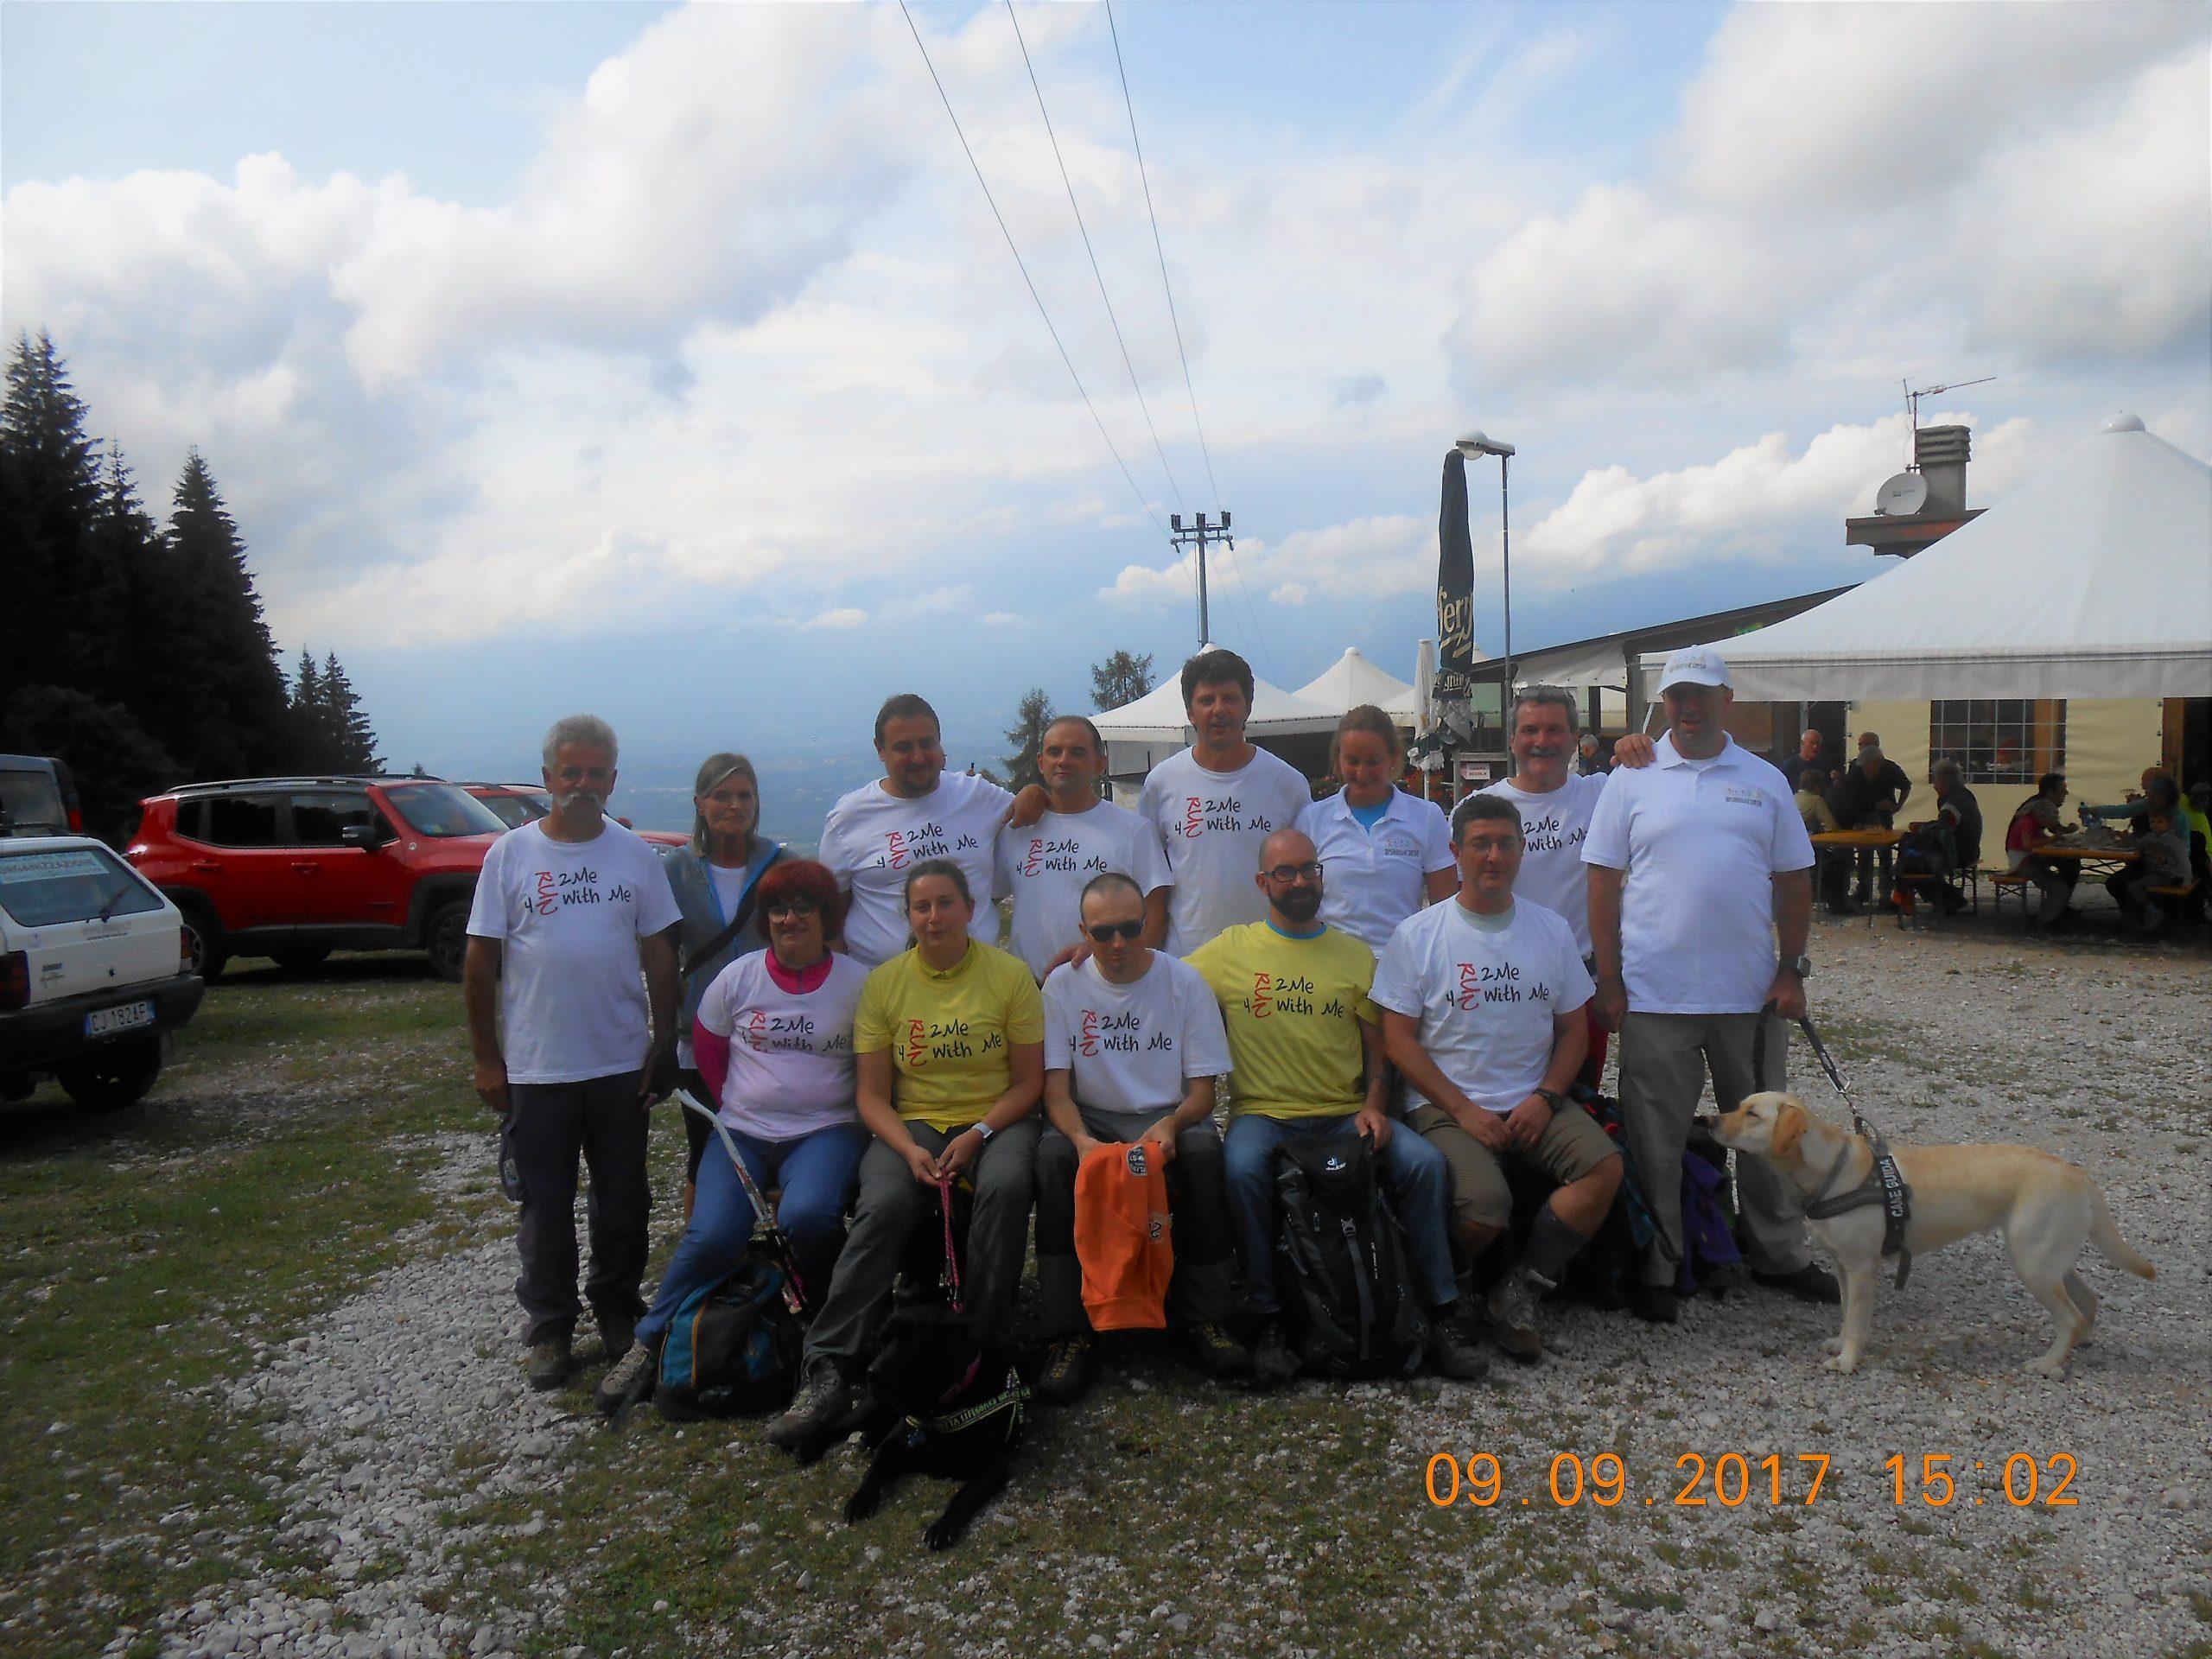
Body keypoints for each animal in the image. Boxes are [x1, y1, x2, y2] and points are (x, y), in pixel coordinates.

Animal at [840, 1309, 1030, 1557]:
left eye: (913, 1344)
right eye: (883, 1341)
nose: (871, 1373)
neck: (937, 1408)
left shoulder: (992, 1466)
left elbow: (964, 1495)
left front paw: (943, 1526)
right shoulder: (894, 1443)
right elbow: (875, 1467)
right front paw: (861, 1498)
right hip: (873, 1404)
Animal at [1707, 1096, 2158, 1380]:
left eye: (1752, 1113)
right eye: (1739, 1105)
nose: (1708, 1120)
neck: (1831, 1170)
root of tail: (2075, 1172)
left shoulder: (1862, 1268)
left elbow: (1857, 1319)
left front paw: (1849, 1360)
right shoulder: (1840, 1265)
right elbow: (1845, 1311)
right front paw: (1837, 1343)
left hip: (2031, 1262)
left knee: (2070, 1316)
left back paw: (2047, 1364)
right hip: (2049, 1259)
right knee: (2087, 1301)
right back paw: (2078, 1345)